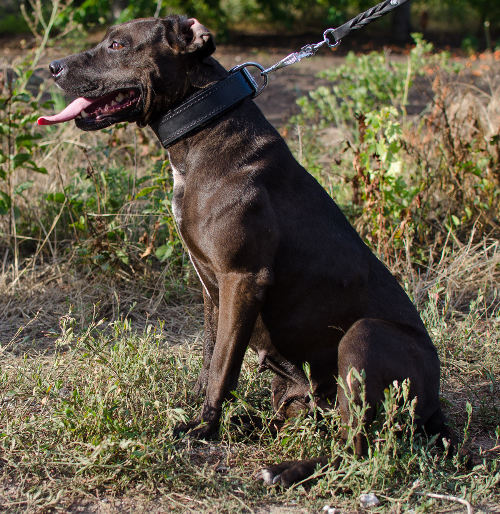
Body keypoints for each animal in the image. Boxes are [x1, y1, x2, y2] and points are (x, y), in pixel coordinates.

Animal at [39, 15, 450, 484]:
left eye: (118, 45)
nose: (52, 67)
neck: (204, 127)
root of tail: (436, 405)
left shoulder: (242, 278)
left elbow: (223, 364)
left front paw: (202, 429)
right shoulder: (211, 288)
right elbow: (209, 356)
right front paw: (202, 416)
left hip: (364, 337)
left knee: (356, 448)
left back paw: (288, 470)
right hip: (296, 386)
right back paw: (250, 424)